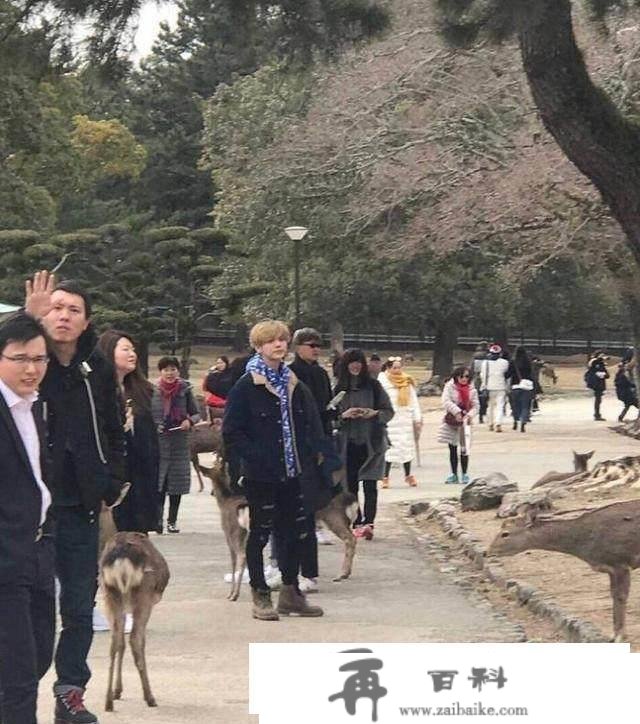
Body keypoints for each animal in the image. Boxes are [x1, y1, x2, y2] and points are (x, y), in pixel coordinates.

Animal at [100, 528, 170, 708]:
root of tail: (121, 561)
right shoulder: (149, 601)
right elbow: (141, 642)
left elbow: (121, 644)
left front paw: (117, 691)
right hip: (143, 595)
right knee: (134, 639)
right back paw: (149, 696)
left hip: (109, 594)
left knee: (115, 641)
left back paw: (108, 701)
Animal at [200, 460, 360, 592]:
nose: (212, 493)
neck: (226, 501)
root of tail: (350, 499)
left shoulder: (233, 530)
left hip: (333, 517)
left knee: (350, 538)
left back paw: (341, 574)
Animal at [488, 500, 640, 640]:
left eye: (505, 534)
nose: (488, 551)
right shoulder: (611, 568)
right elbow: (613, 595)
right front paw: (613, 635)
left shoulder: (620, 563)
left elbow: (620, 596)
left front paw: (619, 636)